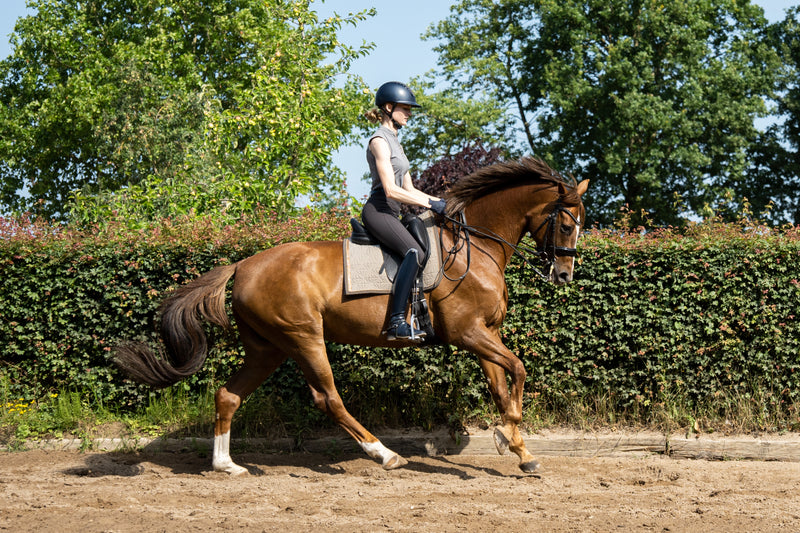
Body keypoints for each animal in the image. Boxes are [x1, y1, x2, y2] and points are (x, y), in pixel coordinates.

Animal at [114, 157, 589, 475]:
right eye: (567, 225)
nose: (564, 275)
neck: (475, 247)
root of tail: (243, 264)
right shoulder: (468, 332)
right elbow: (519, 369)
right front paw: (508, 435)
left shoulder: (484, 333)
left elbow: (501, 386)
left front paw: (519, 449)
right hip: (304, 337)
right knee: (328, 398)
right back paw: (385, 454)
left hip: (268, 348)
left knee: (228, 395)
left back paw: (225, 465)